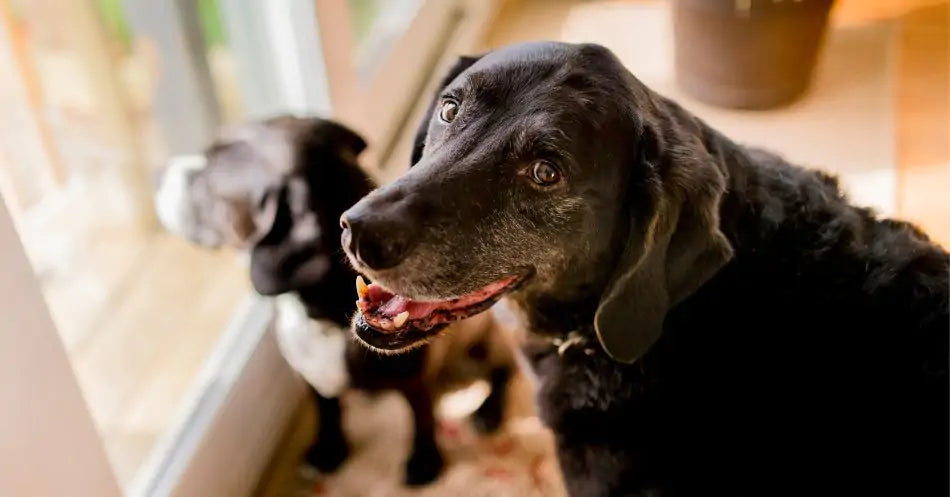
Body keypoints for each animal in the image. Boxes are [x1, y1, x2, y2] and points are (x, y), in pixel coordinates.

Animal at [157, 114, 516, 482]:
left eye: (211, 169)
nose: (160, 171)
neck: (325, 317)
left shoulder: (415, 377)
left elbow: (421, 414)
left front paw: (424, 461)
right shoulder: (312, 377)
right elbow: (327, 411)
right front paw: (329, 450)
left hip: (485, 346)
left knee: (504, 371)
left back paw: (488, 411)